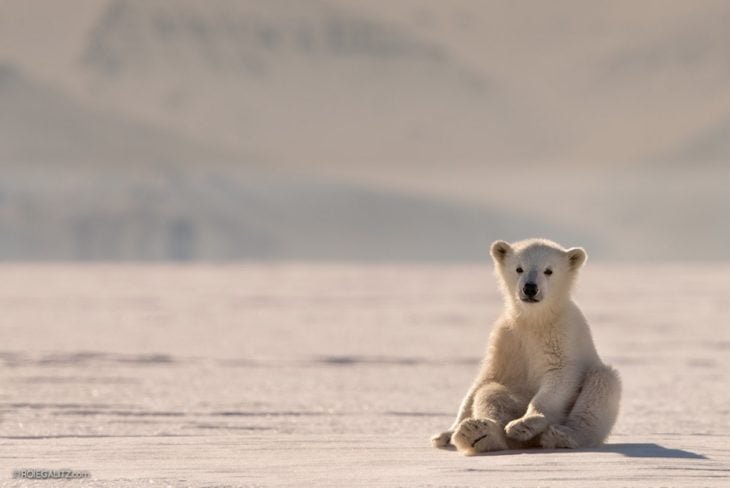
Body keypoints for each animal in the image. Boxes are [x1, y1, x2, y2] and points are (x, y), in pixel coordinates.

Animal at [432, 238, 620, 456]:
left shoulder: (563, 334)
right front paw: (445, 434)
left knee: (602, 382)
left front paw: (525, 423)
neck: (535, 319)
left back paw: (560, 435)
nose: (530, 288)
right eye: (519, 268)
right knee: (492, 392)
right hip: (518, 394)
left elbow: (560, 376)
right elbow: (485, 379)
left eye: (548, 270)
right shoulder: (507, 338)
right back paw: (477, 432)